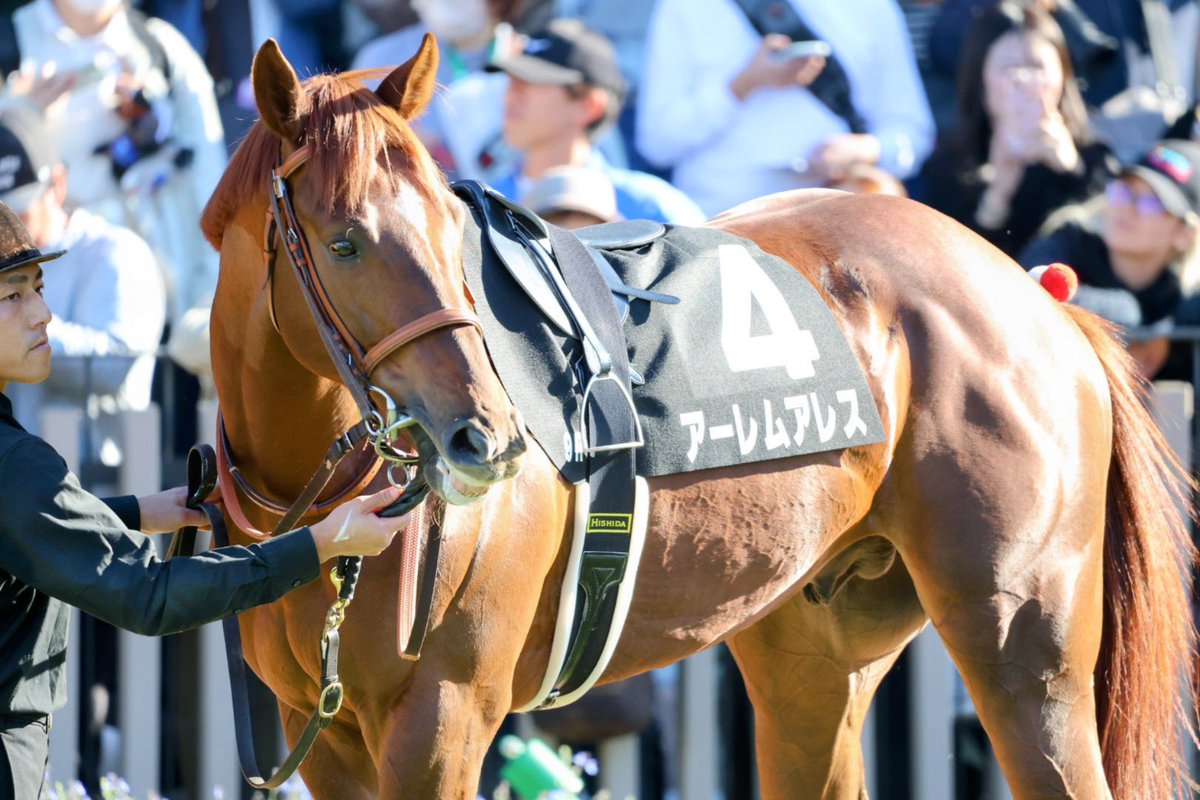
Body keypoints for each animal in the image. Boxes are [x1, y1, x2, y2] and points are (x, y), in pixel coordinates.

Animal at [200, 36, 1197, 799]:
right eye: (344, 242)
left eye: (451, 233)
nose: (484, 437)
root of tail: (1032, 292)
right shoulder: (323, 734)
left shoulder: (444, 718)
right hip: (815, 651)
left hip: (1029, 650)